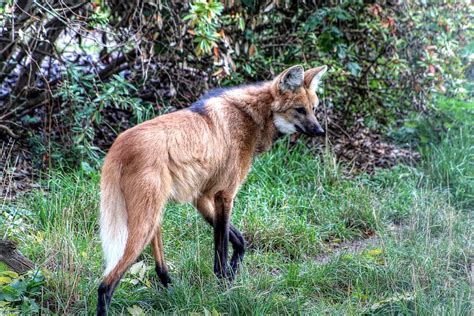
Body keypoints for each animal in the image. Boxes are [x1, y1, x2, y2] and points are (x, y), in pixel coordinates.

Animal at [96, 64, 326, 314]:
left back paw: (172, 289)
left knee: (156, 261)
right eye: (299, 110)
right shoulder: (225, 195)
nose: (320, 131)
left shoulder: (203, 196)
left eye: (314, 109)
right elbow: (221, 247)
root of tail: (119, 144)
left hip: (153, 212)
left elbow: (239, 241)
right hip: (142, 222)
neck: (251, 117)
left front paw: (230, 276)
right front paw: (225, 288)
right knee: (106, 285)